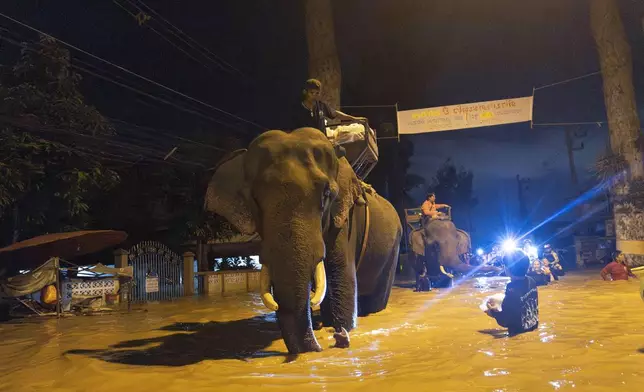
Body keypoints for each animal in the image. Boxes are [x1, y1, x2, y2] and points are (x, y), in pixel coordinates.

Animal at [205, 128, 402, 356]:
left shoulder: (344, 220)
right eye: (254, 199)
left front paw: (343, 328)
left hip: (393, 246)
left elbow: (341, 277)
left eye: (326, 195)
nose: (339, 338)